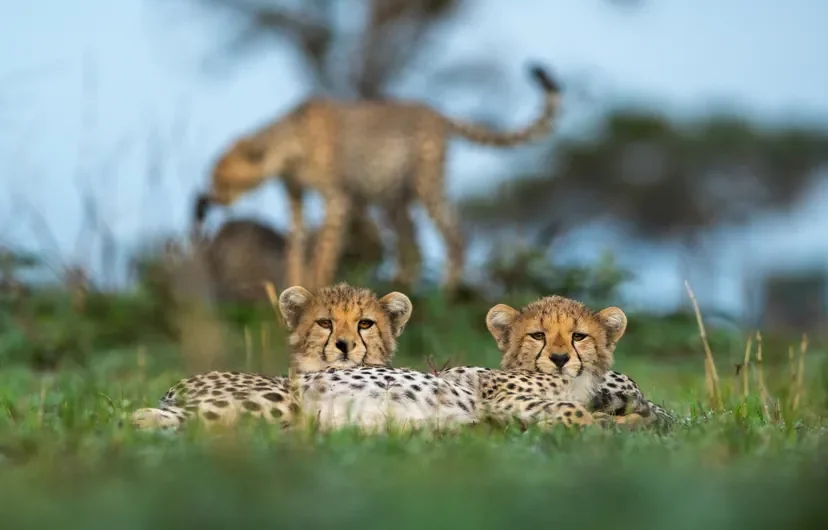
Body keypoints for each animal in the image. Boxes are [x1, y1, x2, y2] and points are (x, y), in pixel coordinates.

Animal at [194, 62, 563, 293]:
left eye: (221, 178)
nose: (210, 196)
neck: (285, 147)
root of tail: (435, 111)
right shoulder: (295, 195)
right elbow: (295, 244)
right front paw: (291, 287)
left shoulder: (338, 197)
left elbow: (325, 247)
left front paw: (315, 287)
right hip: (393, 195)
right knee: (412, 245)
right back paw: (402, 289)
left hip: (426, 182)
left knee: (454, 236)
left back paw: (448, 294)